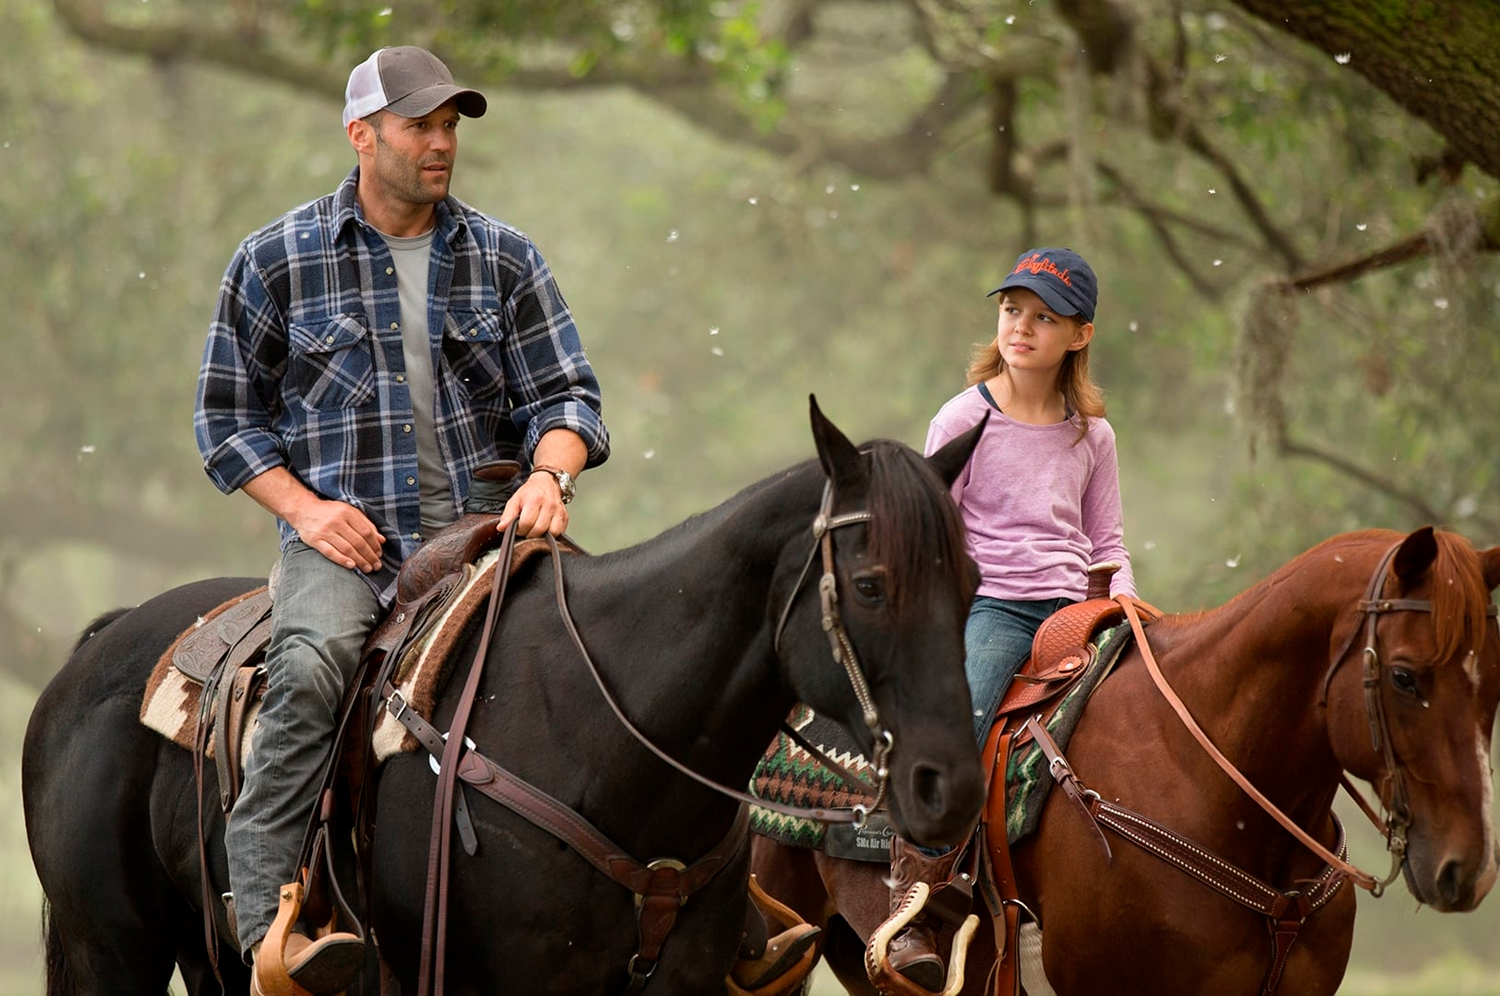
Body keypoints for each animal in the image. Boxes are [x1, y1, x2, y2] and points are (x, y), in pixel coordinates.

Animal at [23, 402, 990, 990]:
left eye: (975, 581)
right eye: (869, 585)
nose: (948, 786)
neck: (602, 736)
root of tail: (100, 642)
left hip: (204, 948)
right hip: (111, 945)